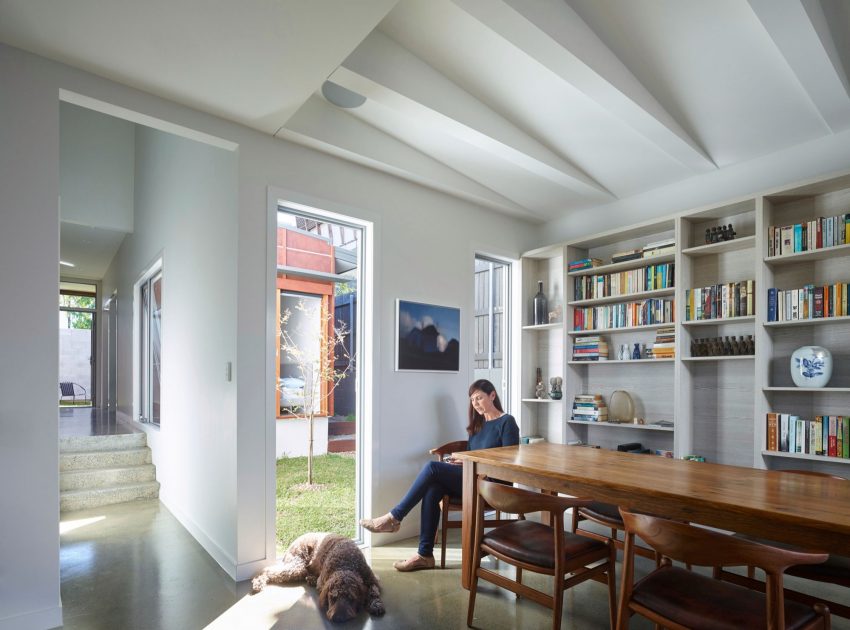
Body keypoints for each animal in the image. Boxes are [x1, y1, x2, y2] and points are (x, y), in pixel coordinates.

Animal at [252, 532, 384, 628]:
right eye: (332, 598)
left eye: (351, 598)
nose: (338, 618)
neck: (346, 565)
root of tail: (295, 540)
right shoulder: (324, 581)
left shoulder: (373, 580)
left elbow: (374, 592)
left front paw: (376, 605)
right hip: (297, 567)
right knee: (269, 569)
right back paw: (259, 581)